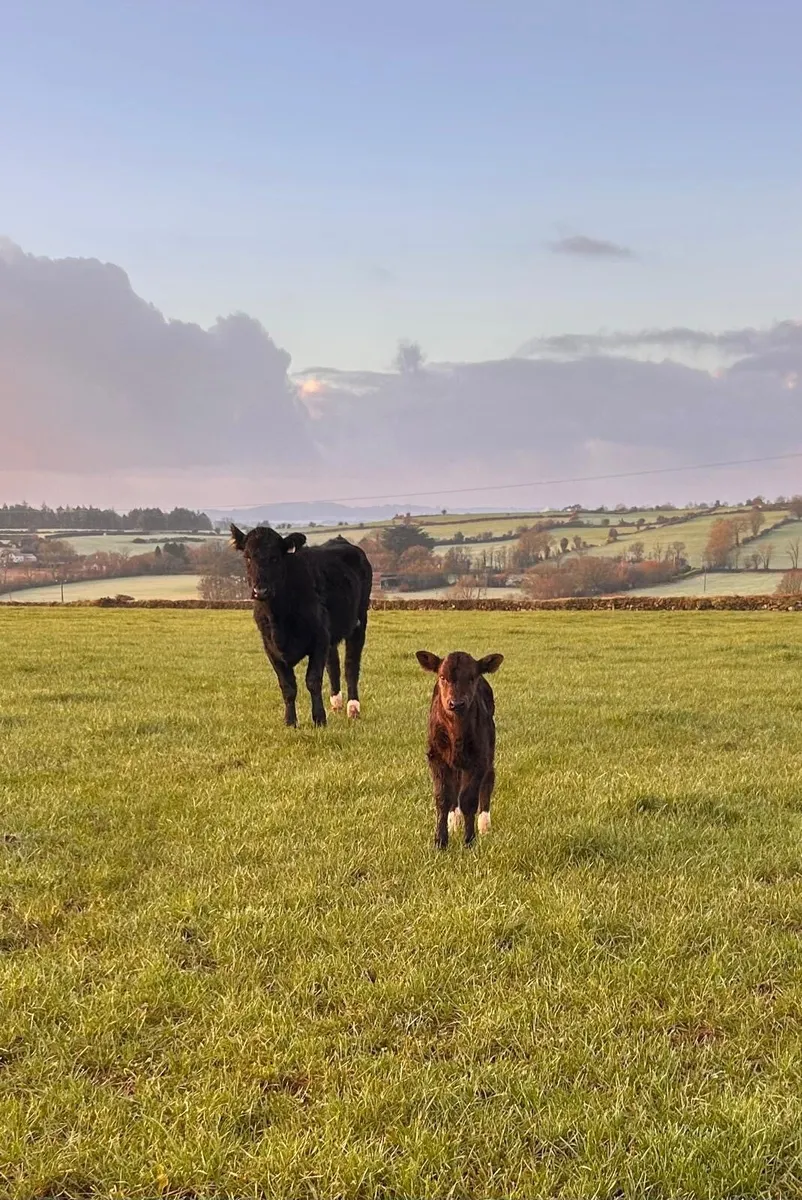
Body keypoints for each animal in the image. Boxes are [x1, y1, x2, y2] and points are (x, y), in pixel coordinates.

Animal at [231, 525, 372, 727]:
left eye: (275, 557)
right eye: (247, 557)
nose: (260, 591)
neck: (279, 619)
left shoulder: (319, 639)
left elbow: (313, 680)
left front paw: (319, 719)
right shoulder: (270, 647)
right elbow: (288, 686)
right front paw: (290, 721)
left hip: (359, 621)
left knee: (351, 665)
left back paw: (352, 708)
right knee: (334, 664)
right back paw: (336, 702)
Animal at [416, 649, 503, 849]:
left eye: (472, 677)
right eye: (442, 676)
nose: (456, 703)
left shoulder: (479, 759)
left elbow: (469, 799)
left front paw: (469, 841)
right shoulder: (436, 757)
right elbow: (443, 797)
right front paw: (440, 841)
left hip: (489, 753)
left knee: (488, 780)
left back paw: (484, 825)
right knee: (454, 786)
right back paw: (453, 820)